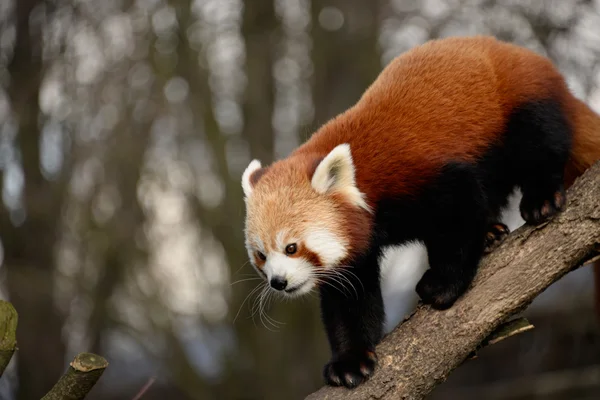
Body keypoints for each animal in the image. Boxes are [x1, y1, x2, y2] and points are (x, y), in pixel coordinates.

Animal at [241, 36, 600, 390]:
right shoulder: (356, 249)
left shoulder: (424, 176)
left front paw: (442, 285)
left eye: (292, 247)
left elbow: (457, 217)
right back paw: (490, 231)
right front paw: (350, 360)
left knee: (540, 144)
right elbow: (350, 299)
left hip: (519, 103)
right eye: (261, 255)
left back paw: (541, 198)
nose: (278, 282)